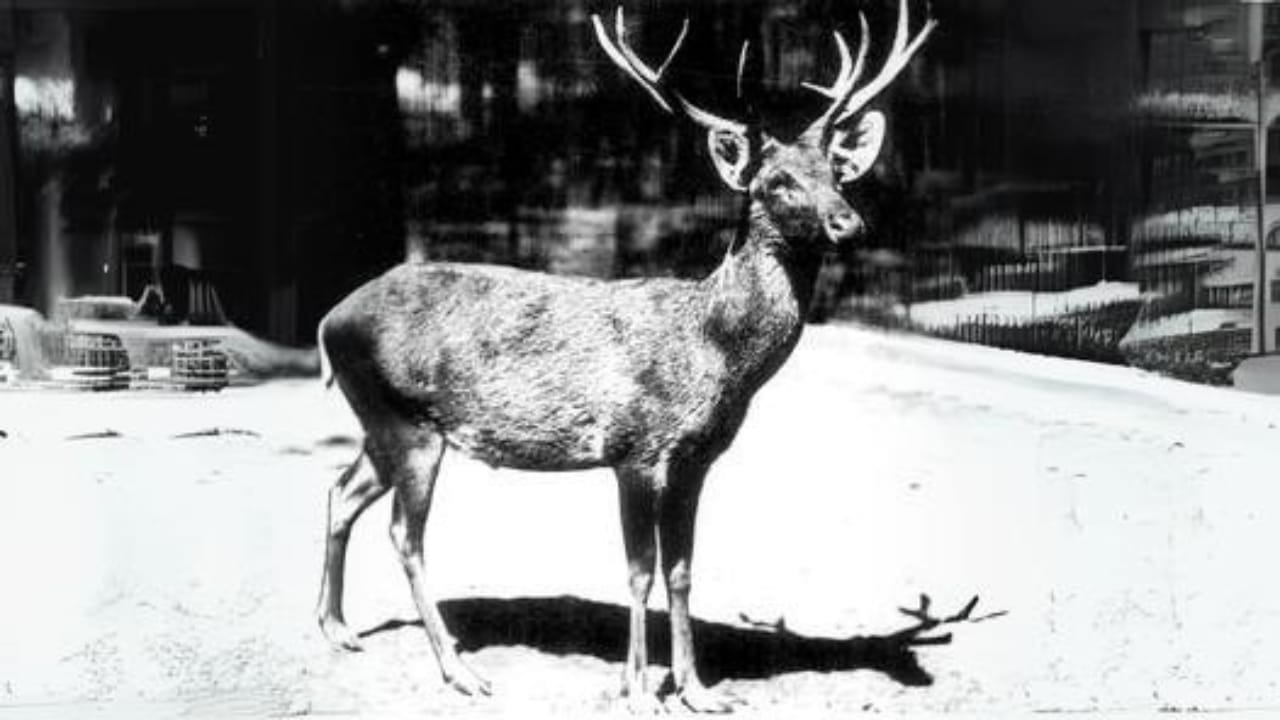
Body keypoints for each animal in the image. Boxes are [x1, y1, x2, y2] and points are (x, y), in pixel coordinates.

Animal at [314, 0, 934, 712]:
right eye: (777, 183)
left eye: (836, 173)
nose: (848, 223)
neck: (715, 358)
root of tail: (330, 320)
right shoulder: (634, 449)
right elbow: (638, 571)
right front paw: (637, 689)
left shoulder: (696, 459)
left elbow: (682, 569)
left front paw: (697, 688)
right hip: (408, 421)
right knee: (405, 535)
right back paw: (460, 671)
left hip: (380, 421)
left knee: (341, 490)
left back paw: (337, 628)